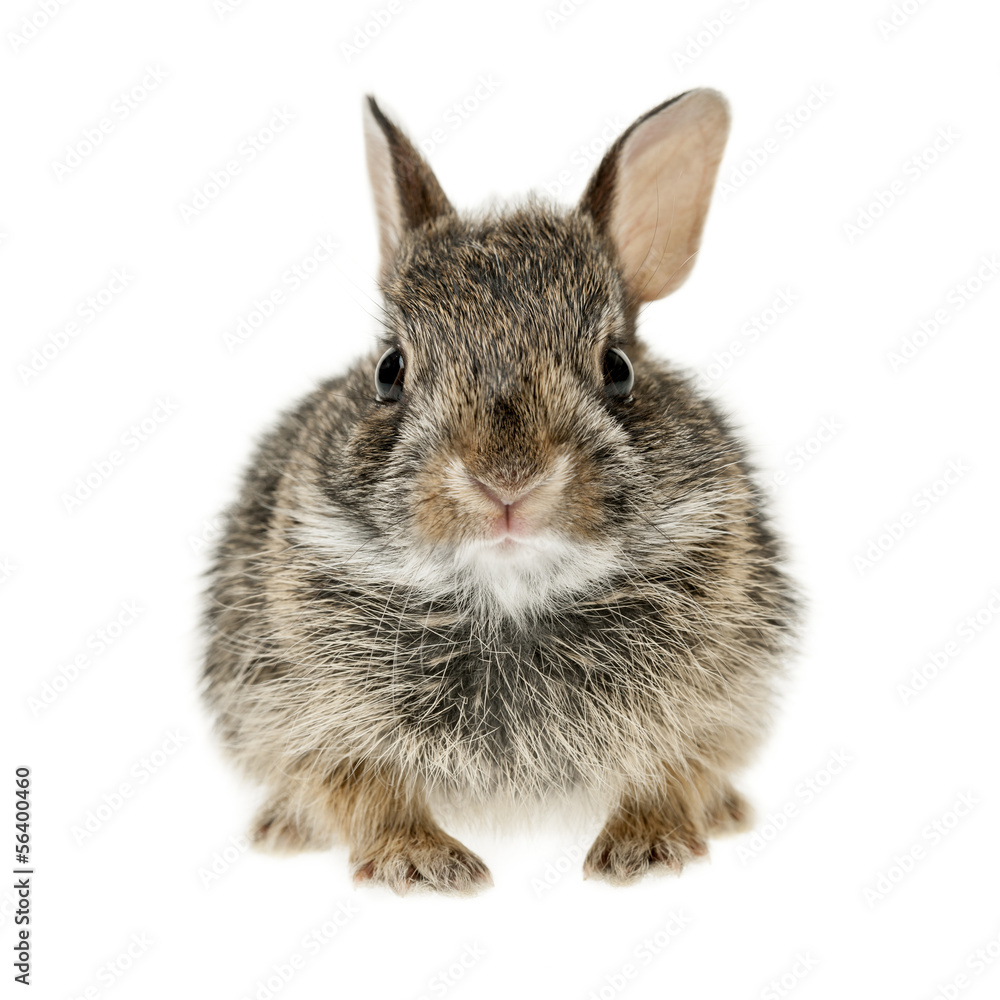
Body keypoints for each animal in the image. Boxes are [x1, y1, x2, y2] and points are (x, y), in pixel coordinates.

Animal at [201, 88, 798, 895]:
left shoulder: (707, 706)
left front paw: (645, 850)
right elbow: (365, 792)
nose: (506, 480)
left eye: (617, 369)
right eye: (389, 370)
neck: (507, 593)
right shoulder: (314, 716)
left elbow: (671, 775)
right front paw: (424, 863)